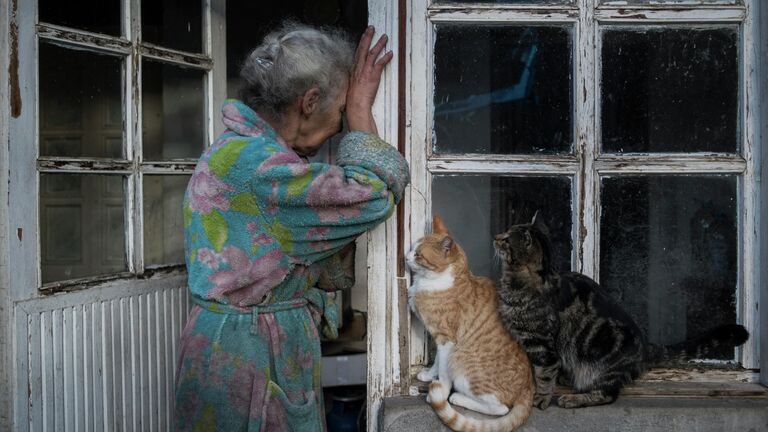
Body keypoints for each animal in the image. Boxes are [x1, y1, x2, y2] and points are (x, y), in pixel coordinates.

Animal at [408, 216, 536, 432]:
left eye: (418, 255)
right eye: (411, 249)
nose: (405, 257)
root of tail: (528, 389)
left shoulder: (447, 340)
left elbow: (443, 371)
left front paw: (440, 391)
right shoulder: (440, 339)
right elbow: (437, 363)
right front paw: (429, 375)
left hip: (460, 360)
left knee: (500, 408)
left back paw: (458, 398)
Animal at [492, 215, 752, 408]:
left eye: (506, 239)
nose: (495, 237)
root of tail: (647, 347)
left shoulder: (542, 345)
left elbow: (544, 375)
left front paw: (540, 398)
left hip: (603, 366)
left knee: (608, 395)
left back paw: (573, 398)